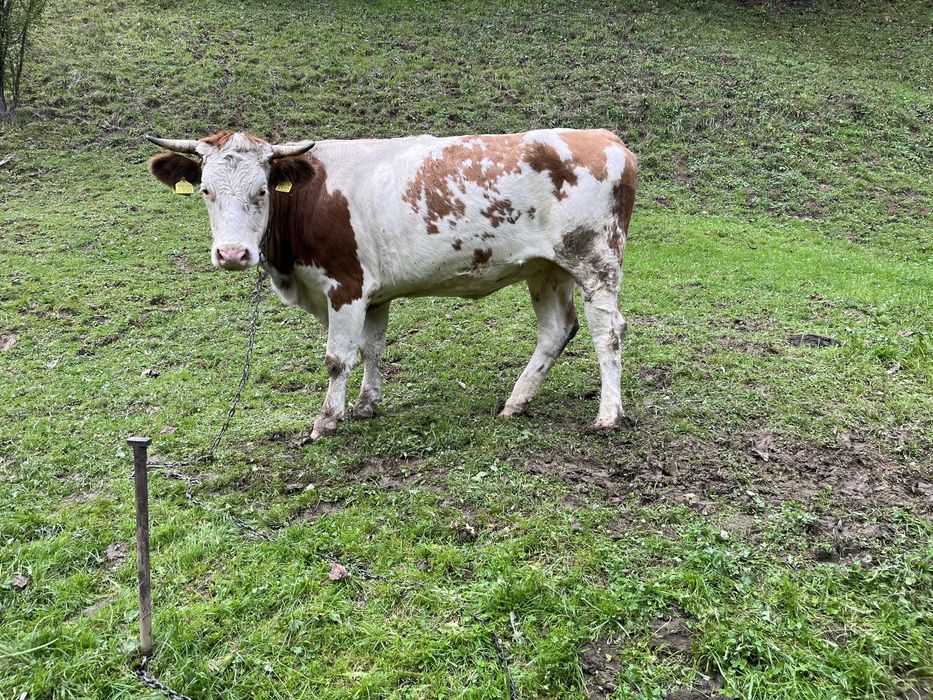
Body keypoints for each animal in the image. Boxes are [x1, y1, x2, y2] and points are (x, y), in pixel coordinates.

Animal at [146, 129, 637, 441]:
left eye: (262, 191)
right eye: (206, 190)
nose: (232, 254)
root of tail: (605, 138)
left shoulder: (345, 285)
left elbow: (337, 358)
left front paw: (326, 421)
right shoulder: (373, 292)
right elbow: (372, 348)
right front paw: (367, 405)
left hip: (595, 261)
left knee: (607, 331)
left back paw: (608, 414)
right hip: (546, 269)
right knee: (556, 330)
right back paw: (517, 401)